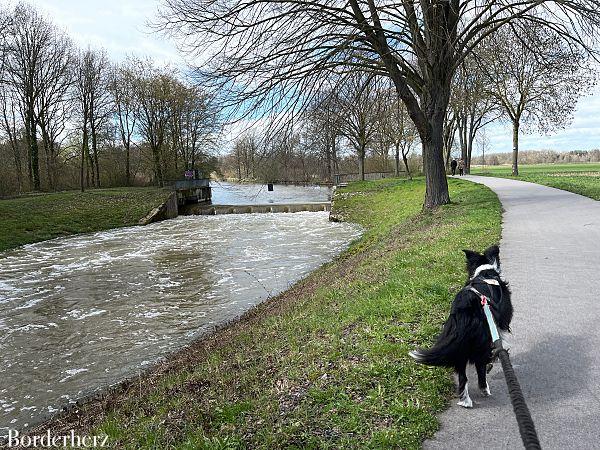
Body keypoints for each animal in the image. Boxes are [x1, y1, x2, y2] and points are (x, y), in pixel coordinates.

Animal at [410, 246, 512, 408]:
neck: (484, 272)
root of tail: (464, 310)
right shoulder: (501, 321)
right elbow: (501, 338)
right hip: (479, 343)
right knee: (480, 368)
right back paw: (485, 390)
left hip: (460, 346)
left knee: (463, 377)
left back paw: (465, 401)